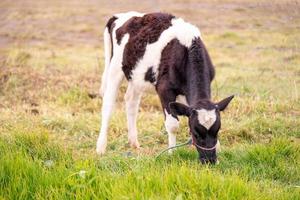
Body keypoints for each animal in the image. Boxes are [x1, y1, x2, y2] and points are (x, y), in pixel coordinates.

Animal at [96, 11, 234, 163]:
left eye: (217, 130)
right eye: (196, 132)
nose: (210, 161)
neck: (187, 48)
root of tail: (120, 16)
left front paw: (219, 150)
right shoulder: (164, 90)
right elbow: (172, 125)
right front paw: (171, 153)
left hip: (136, 77)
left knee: (131, 101)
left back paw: (134, 143)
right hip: (115, 69)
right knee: (108, 106)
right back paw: (101, 147)